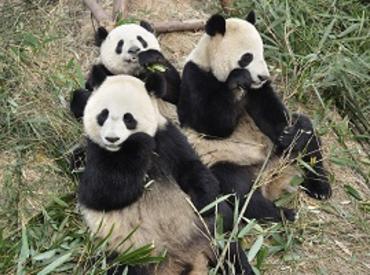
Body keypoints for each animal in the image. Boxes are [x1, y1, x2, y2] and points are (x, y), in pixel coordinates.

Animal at [75, 72, 254, 274]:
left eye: (128, 118)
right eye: (103, 115)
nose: (112, 138)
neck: (120, 150)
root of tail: (188, 258)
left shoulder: (167, 137)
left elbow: (190, 167)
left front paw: (204, 200)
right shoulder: (95, 151)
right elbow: (101, 192)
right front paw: (138, 144)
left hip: (208, 231)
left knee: (229, 245)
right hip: (129, 256)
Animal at [176, 11, 332, 220]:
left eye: (263, 53)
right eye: (247, 57)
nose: (263, 77)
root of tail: (269, 176)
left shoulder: (258, 91)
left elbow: (271, 114)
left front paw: (289, 134)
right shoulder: (195, 77)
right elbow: (212, 126)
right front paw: (237, 79)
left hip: (280, 151)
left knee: (308, 138)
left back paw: (320, 187)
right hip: (225, 159)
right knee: (238, 188)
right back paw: (284, 214)